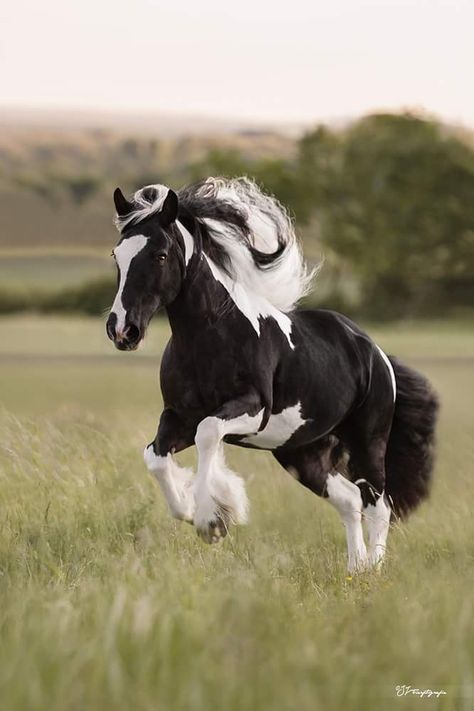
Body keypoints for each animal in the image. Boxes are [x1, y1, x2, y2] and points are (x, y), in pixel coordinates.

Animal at [105, 177, 438, 572]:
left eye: (160, 255)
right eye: (117, 255)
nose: (122, 330)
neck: (210, 338)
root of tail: (377, 354)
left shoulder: (251, 410)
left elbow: (208, 434)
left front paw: (213, 520)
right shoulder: (178, 417)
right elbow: (154, 458)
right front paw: (197, 510)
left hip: (367, 441)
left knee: (378, 503)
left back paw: (372, 569)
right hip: (301, 451)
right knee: (349, 499)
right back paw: (354, 570)